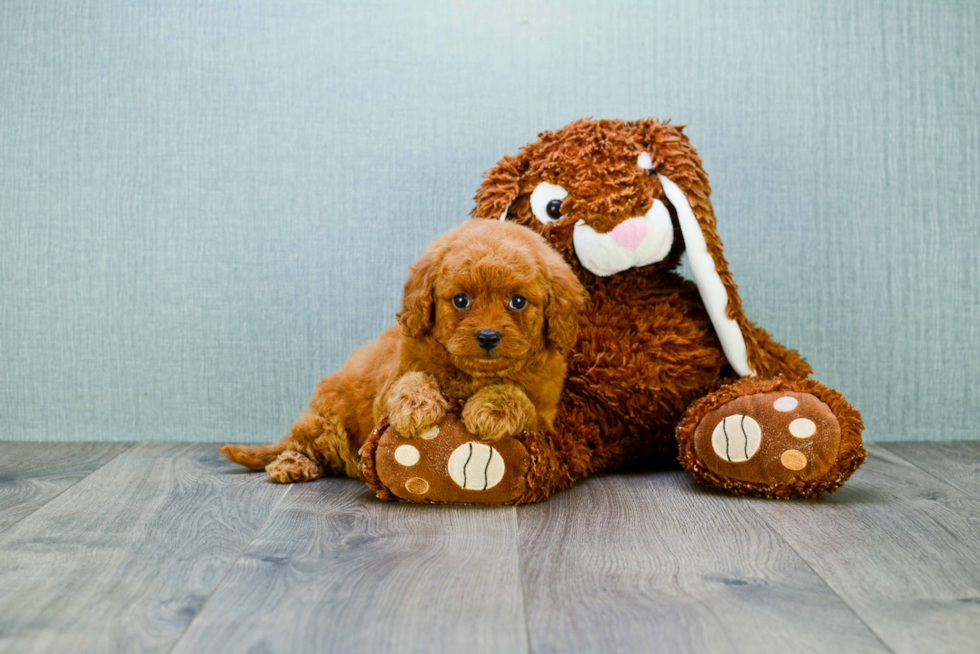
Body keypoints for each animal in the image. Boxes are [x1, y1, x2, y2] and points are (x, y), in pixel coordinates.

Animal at [221, 220, 584, 482]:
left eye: (518, 301)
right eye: (461, 300)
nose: (488, 336)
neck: (473, 375)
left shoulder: (544, 414)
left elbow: (516, 394)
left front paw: (490, 410)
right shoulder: (389, 386)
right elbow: (410, 379)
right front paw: (415, 407)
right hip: (330, 423)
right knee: (304, 443)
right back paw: (292, 464)